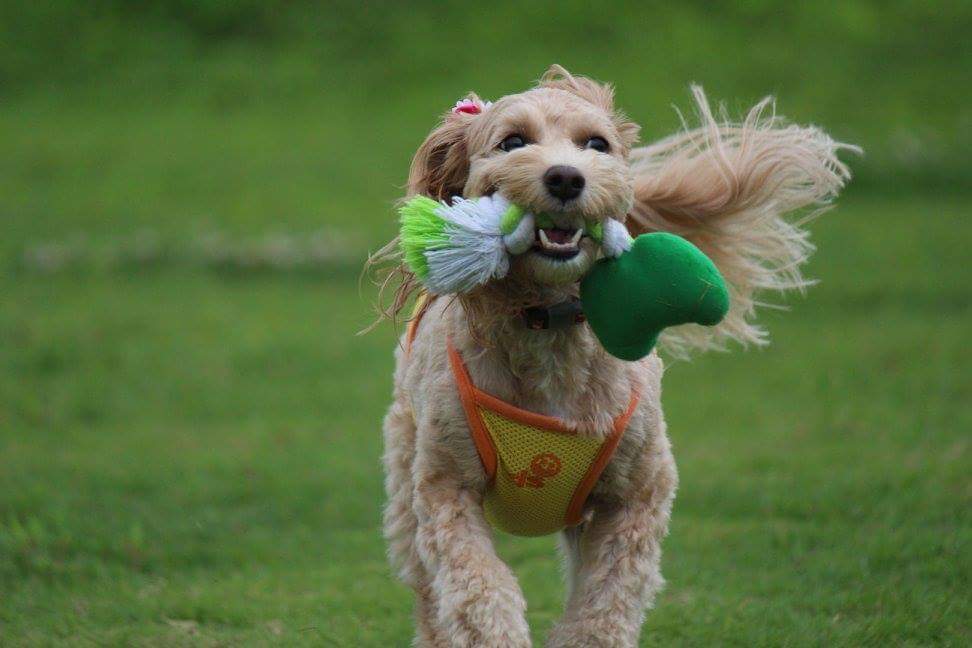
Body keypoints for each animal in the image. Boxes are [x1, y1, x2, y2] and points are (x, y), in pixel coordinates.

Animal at [376, 67, 856, 648]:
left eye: (596, 145)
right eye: (512, 142)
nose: (566, 178)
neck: (548, 324)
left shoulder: (635, 493)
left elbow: (606, 602)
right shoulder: (447, 487)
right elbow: (478, 588)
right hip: (405, 470)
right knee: (425, 584)